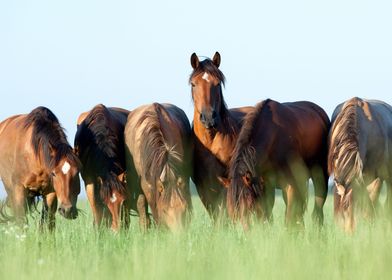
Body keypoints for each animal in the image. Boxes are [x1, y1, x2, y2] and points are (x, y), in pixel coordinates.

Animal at [220, 99, 330, 230]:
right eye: (231, 211)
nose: (244, 233)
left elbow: (289, 218)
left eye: (249, 205)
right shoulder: (265, 186)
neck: (272, 137)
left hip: (320, 177)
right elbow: (266, 215)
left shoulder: (290, 185)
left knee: (317, 209)